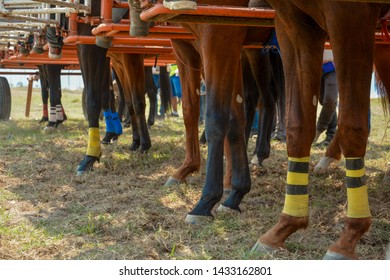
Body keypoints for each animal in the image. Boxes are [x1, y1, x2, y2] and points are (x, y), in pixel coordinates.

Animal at [251, 0, 388, 260]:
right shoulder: (294, 23)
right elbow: (298, 125)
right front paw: (285, 225)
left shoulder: (350, 16)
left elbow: (353, 126)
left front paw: (349, 236)